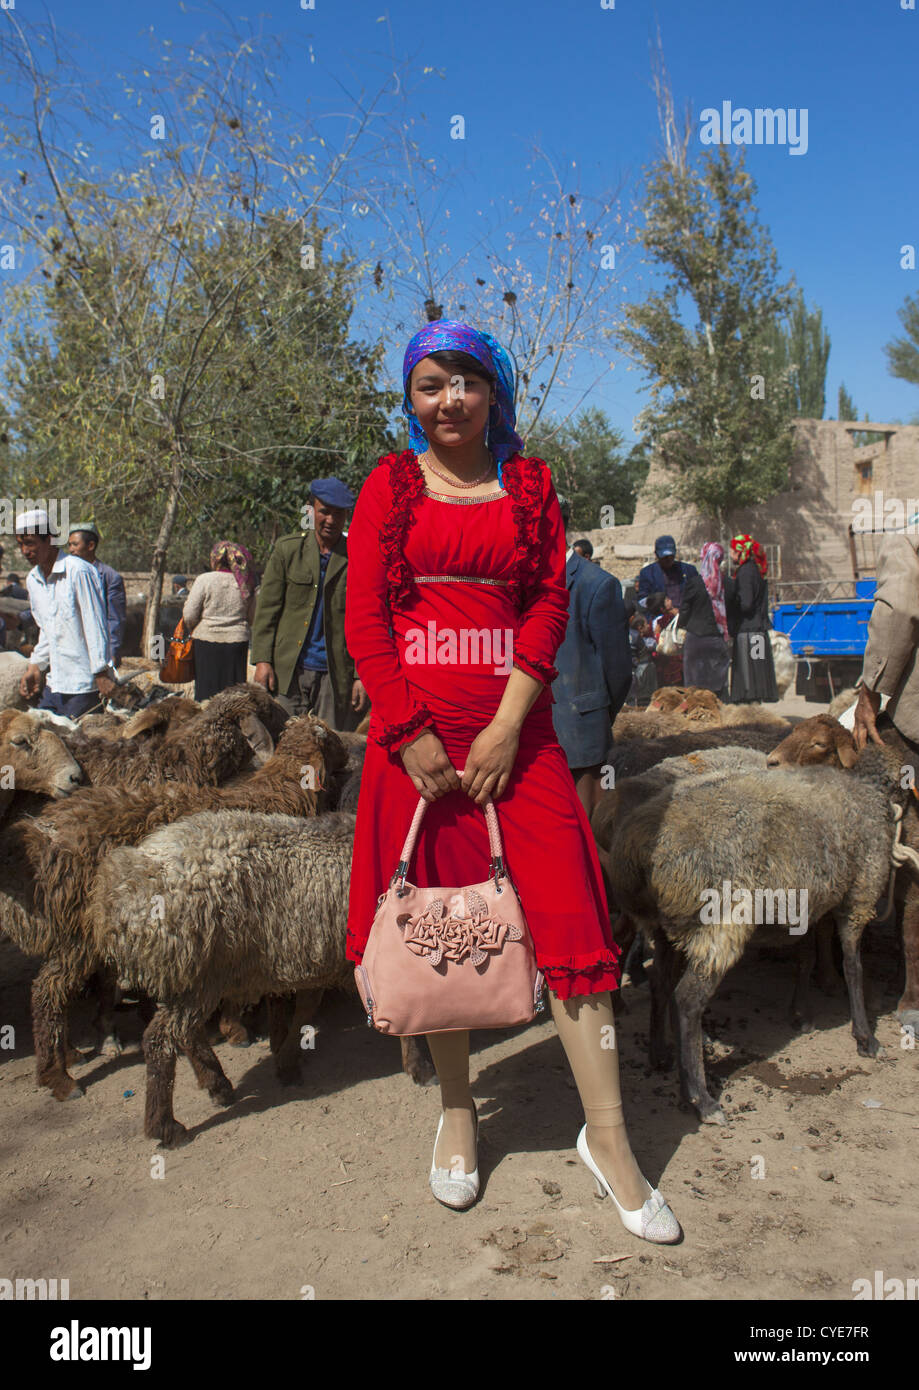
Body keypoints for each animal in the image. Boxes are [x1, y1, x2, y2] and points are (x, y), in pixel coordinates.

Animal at [603, 745, 900, 1123]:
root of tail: (635, 850)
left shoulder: (808, 903)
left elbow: (806, 957)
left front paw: (800, 1013)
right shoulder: (861, 889)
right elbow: (853, 965)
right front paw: (865, 1037)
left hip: (665, 925)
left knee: (660, 983)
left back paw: (660, 1055)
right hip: (718, 922)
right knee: (687, 999)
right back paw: (701, 1099)